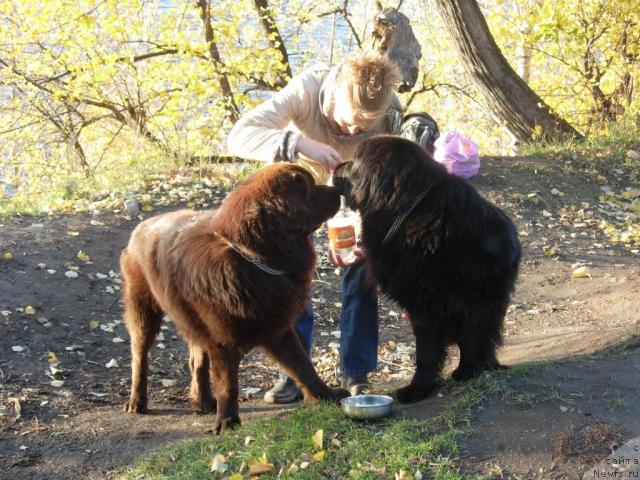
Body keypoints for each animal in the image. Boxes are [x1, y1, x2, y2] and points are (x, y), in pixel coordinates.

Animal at [120, 163, 350, 434]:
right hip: (143, 311)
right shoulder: (223, 339)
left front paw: (326, 395)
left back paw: (203, 402)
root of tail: (142, 225)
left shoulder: (277, 326)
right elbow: (228, 383)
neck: (252, 256)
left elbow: (303, 365)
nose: (338, 188)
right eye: (309, 188)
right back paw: (137, 400)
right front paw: (227, 421)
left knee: (196, 361)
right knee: (139, 357)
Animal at [332, 137, 524, 404]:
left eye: (354, 160)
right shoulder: (426, 304)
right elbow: (433, 349)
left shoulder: (453, 302)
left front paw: (458, 373)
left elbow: (447, 344)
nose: (335, 166)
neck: (409, 211)